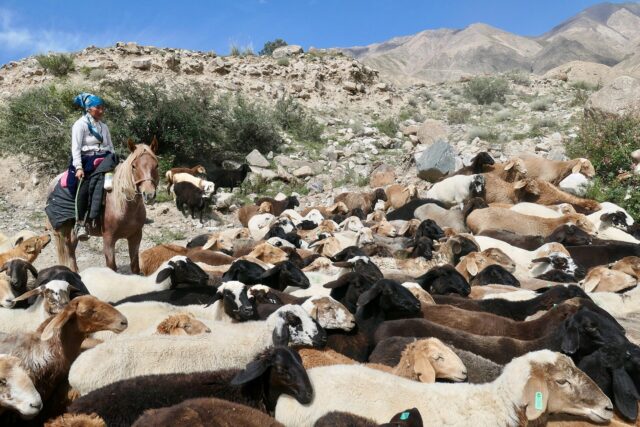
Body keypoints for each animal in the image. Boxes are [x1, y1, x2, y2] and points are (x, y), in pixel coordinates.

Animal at [47, 138, 159, 273]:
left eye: (156, 165)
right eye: (133, 166)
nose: (149, 194)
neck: (123, 205)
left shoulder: (135, 236)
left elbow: (135, 267)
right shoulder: (108, 239)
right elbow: (111, 267)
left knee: (71, 248)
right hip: (62, 228)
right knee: (67, 249)